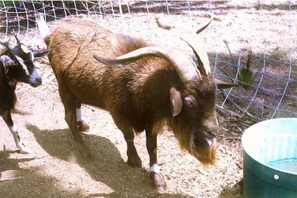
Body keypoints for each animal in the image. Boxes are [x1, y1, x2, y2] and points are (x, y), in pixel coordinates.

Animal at [37, 17, 231, 192]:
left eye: (215, 96)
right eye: (189, 101)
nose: (212, 131)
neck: (138, 83)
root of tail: (52, 36)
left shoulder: (152, 121)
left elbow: (152, 147)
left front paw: (156, 179)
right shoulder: (118, 113)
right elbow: (129, 135)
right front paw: (133, 159)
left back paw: (82, 124)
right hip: (63, 87)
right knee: (68, 117)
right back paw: (84, 149)